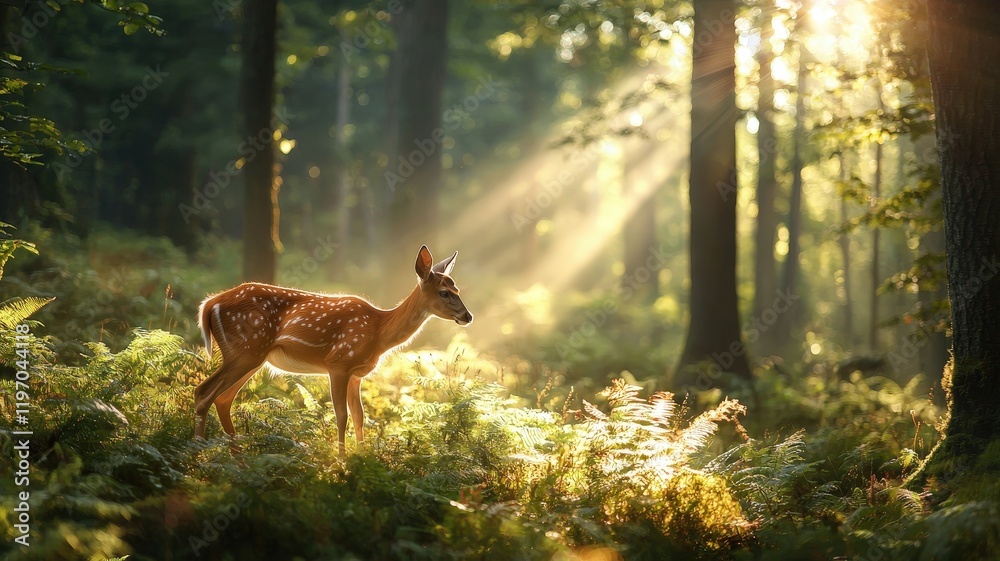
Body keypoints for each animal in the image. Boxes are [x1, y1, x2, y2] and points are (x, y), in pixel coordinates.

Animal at [194, 245, 473, 455]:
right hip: (246, 348)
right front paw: (341, 463)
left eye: (458, 289)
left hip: (251, 356)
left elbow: (359, 416)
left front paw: (362, 458)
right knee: (203, 392)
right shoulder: (339, 362)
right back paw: (198, 456)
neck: (378, 332)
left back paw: (237, 459)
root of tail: (209, 303)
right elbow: (341, 415)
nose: (467, 316)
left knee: (223, 399)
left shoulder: (357, 373)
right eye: (445, 292)